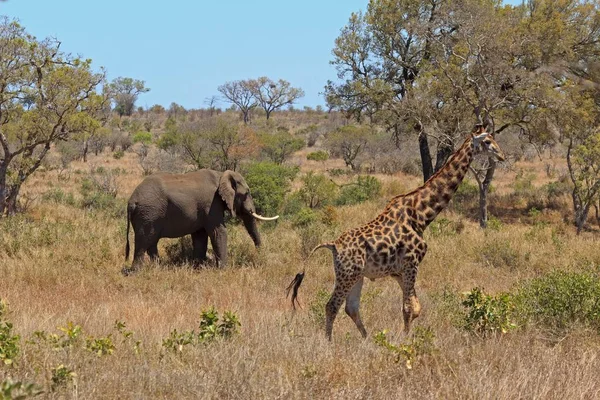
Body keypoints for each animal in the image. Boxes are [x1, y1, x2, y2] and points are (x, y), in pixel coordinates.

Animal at [124, 169, 278, 276]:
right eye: (246, 193)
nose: (259, 256)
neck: (221, 175)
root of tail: (131, 201)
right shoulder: (212, 204)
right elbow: (218, 231)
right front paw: (223, 270)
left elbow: (200, 236)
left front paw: (198, 268)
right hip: (148, 213)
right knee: (144, 242)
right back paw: (136, 273)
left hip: (148, 215)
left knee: (151, 242)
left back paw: (158, 268)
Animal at [288, 126, 504, 340]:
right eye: (487, 141)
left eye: (494, 138)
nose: (501, 156)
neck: (421, 215)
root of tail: (333, 245)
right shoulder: (411, 264)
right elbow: (408, 309)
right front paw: (405, 340)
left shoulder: (398, 271)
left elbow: (415, 307)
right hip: (347, 274)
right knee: (332, 306)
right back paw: (329, 342)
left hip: (357, 275)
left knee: (351, 308)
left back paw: (367, 339)